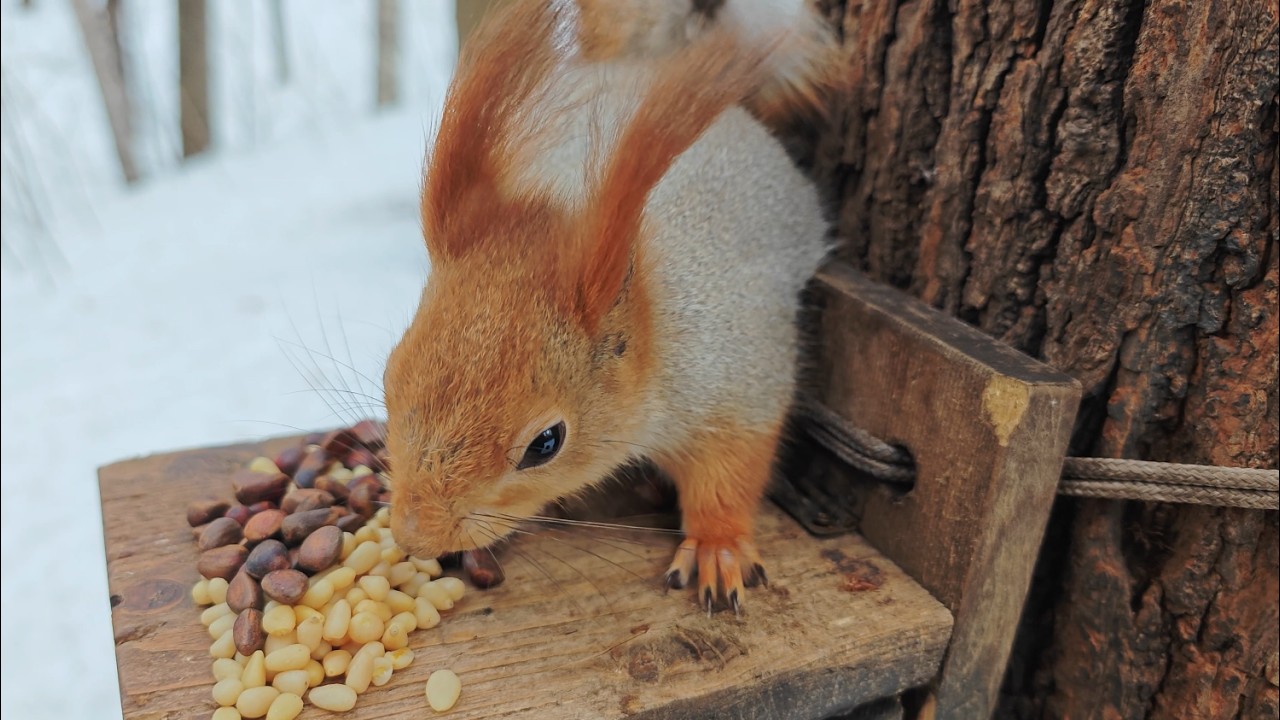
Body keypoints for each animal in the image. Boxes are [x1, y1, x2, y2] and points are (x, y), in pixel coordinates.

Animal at [384, 0, 840, 613]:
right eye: (390, 374)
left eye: (546, 443)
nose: (415, 536)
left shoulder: (739, 379)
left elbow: (730, 473)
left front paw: (717, 546)